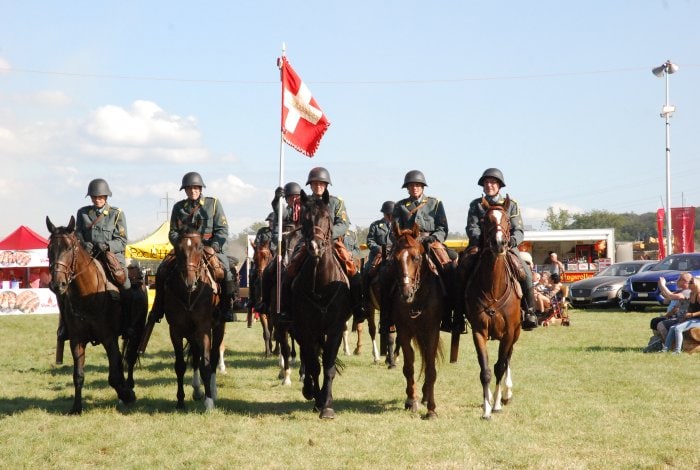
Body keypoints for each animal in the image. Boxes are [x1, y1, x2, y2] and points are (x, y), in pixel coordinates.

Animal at [45, 215, 137, 414]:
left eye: (69, 248)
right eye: (49, 249)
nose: (57, 284)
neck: (86, 296)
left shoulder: (109, 339)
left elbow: (113, 376)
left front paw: (127, 395)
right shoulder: (77, 340)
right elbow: (78, 375)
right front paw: (76, 407)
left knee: (129, 359)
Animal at [163, 224, 224, 412]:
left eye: (199, 247)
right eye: (178, 248)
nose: (190, 282)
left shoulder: (204, 329)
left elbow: (206, 364)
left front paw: (209, 402)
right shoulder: (175, 330)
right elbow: (180, 365)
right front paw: (180, 401)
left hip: (218, 328)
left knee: (213, 357)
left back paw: (212, 391)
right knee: (195, 356)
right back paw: (197, 390)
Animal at [292, 190, 352, 418]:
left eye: (327, 217)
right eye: (305, 218)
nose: (315, 247)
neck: (320, 285)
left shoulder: (335, 329)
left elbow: (328, 366)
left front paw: (327, 405)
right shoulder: (305, 329)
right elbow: (313, 365)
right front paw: (316, 397)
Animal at [388, 223, 442, 418]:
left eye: (417, 257)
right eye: (394, 260)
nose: (406, 293)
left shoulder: (432, 331)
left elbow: (431, 369)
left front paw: (431, 409)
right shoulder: (404, 331)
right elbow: (408, 366)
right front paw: (411, 400)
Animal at [462, 196, 524, 420]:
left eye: (506, 220)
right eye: (485, 220)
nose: (499, 243)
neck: (493, 287)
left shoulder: (508, 333)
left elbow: (500, 367)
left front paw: (496, 403)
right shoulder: (479, 332)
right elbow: (486, 370)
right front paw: (486, 407)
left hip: (516, 333)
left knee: (507, 359)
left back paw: (507, 393)